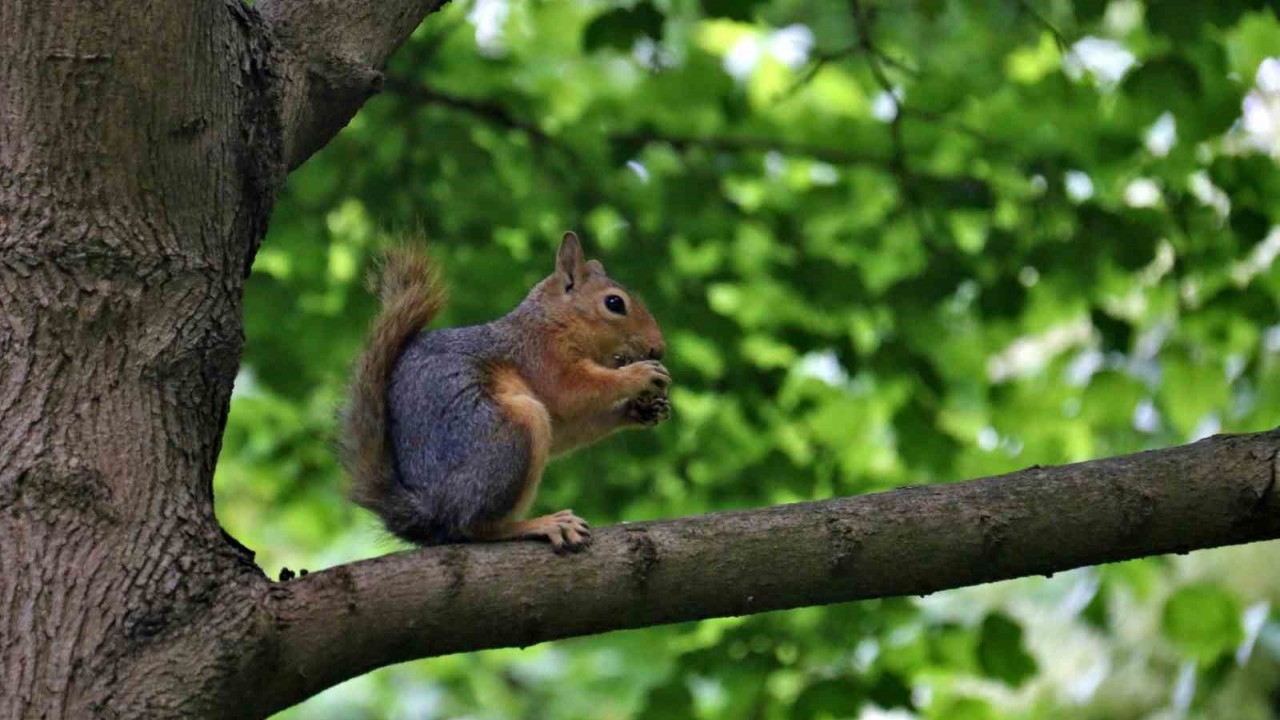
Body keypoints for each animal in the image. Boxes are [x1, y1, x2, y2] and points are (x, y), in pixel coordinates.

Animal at [345, 229, 675, 548]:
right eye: (614, 303)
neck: (555, 322)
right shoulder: (542, 358)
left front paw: (640, 410)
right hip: (511, 433)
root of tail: (431, 512)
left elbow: (569, 429)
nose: (657, 348)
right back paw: (541, 524)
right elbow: (574, 392)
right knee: (472, 527)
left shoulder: (556, 412)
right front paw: (640, 374)